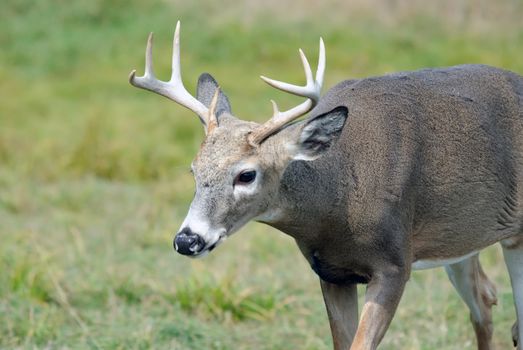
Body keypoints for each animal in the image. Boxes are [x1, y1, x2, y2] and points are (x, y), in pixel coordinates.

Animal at [130, 21, 523, 348]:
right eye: (193, 170)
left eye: (246, 174)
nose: (187, 240)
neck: (337, 200)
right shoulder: (332, 272)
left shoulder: (395, 264)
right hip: (462, 238)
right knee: (486, 298)